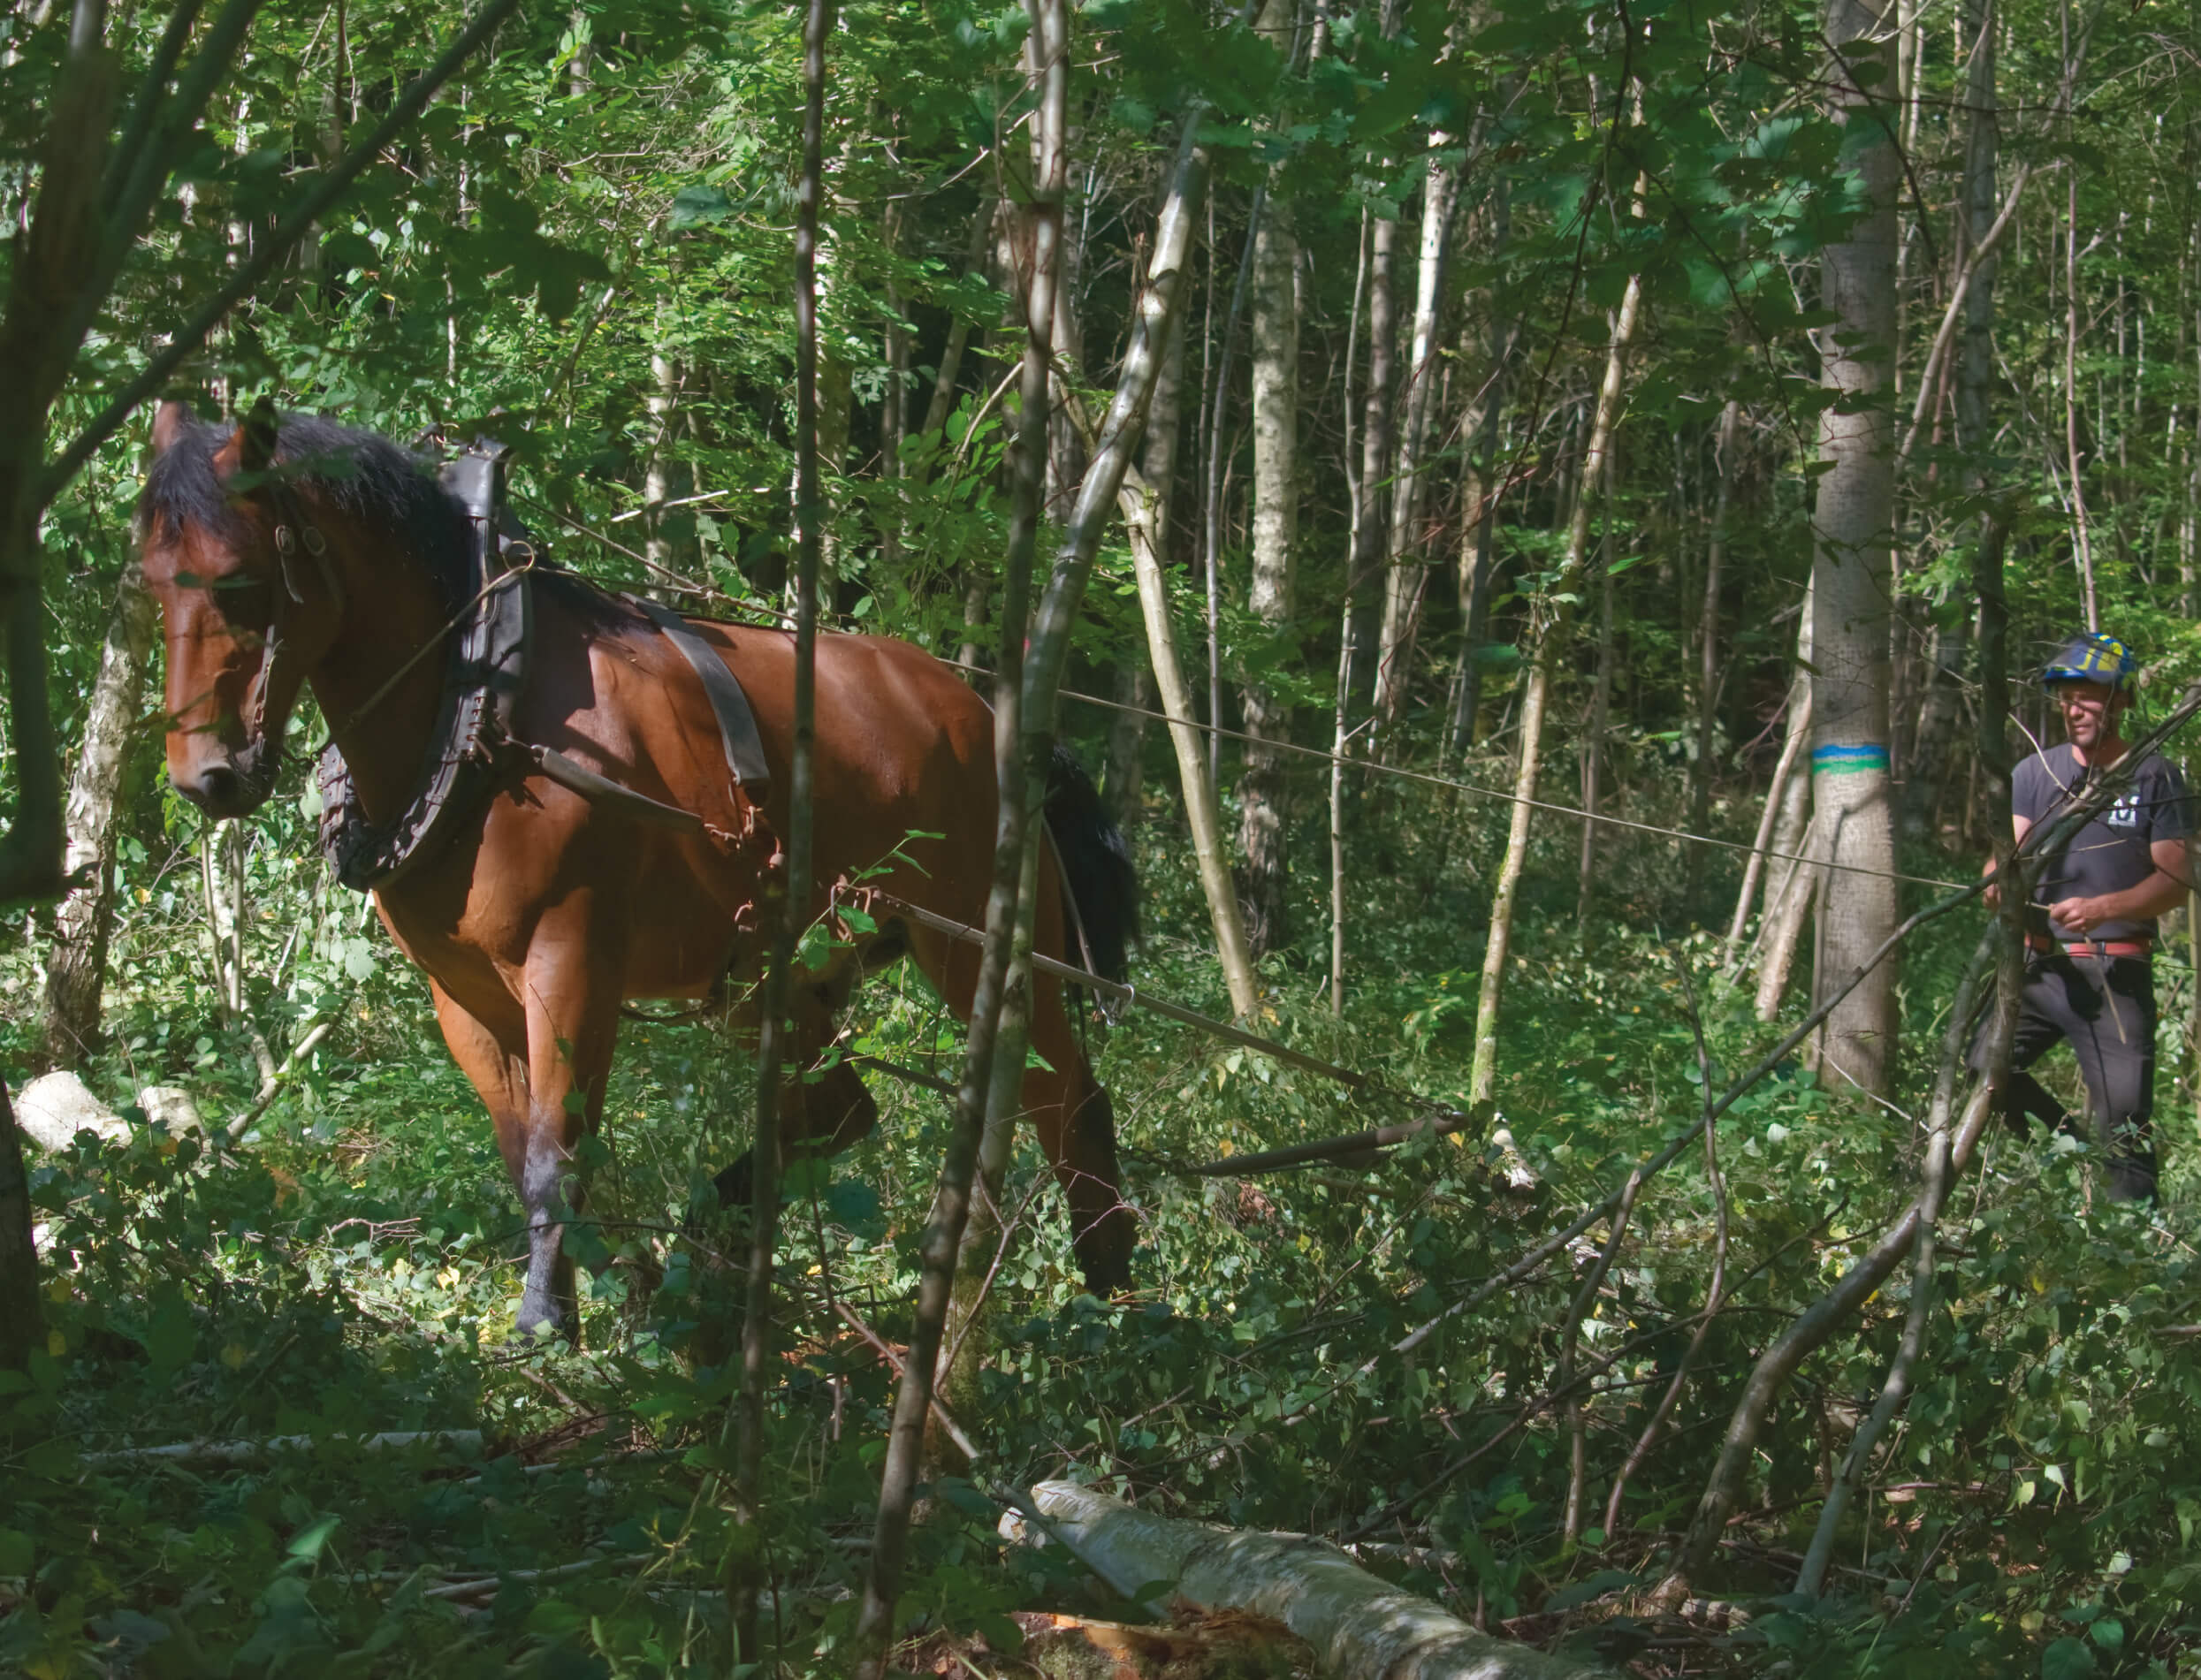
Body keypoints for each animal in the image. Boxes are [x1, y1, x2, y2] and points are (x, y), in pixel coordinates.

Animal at [136, 401, 1139, 1339]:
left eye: (239, 579)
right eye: (146, 583)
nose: (204, 776)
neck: (479, 702)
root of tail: (990, 713)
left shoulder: (571, 961)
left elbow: (557, 1151)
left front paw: (547, 1320)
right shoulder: (462, 995)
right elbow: (521, 1152)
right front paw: (597, 1285)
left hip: (981, 947)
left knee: (1067, 1100)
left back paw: (1110, 1292)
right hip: (769, 972)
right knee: (837, 1109)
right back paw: (712, 1241)